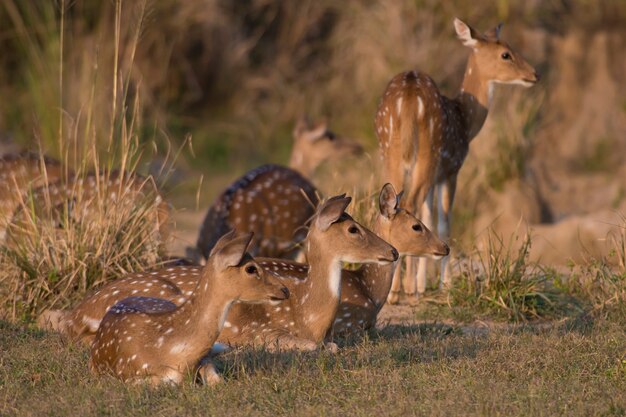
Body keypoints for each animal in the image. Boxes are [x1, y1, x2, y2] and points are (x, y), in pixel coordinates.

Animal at [376, 19, 536, 300]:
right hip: (429, 154)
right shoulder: (451, 170)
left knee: (396, 201)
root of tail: (408, 96)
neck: (465, 121)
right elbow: (444, 222)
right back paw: (401, 290)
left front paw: (422, 282)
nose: (534, 74)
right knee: (410, 201)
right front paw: (445, 283)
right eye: (506, 54)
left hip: (390, 153)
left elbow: (427, 216)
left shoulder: (436, 176)